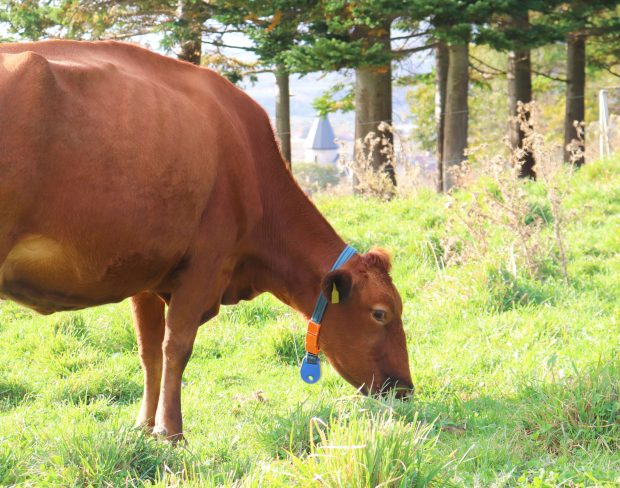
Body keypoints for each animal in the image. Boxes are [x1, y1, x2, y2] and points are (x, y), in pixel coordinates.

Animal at [1, 40, 412, 440]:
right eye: (380, 313)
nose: (405, 388)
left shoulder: (146, 274)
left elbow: (149, 351)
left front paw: (144, 426)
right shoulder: (204, 265)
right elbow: (177, 347)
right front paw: (171, 431)